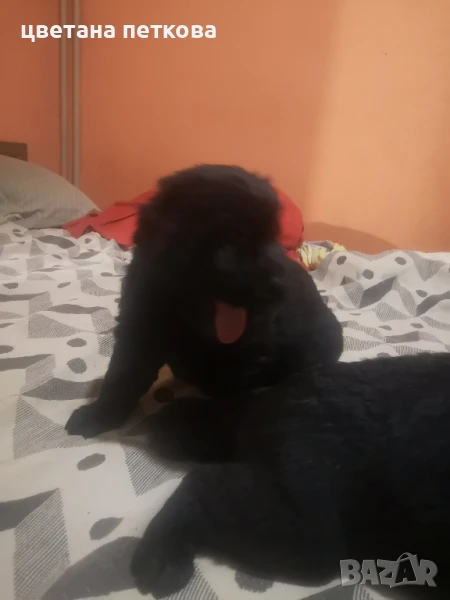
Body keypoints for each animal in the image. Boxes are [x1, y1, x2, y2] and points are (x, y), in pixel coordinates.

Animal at [65, 164, 343, 438]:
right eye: (236, 240)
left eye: (271, 237)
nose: (280, 292)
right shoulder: (140, 326)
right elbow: (122, 376)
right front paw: (98, 416)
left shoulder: (250, 355)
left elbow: (235, 402)